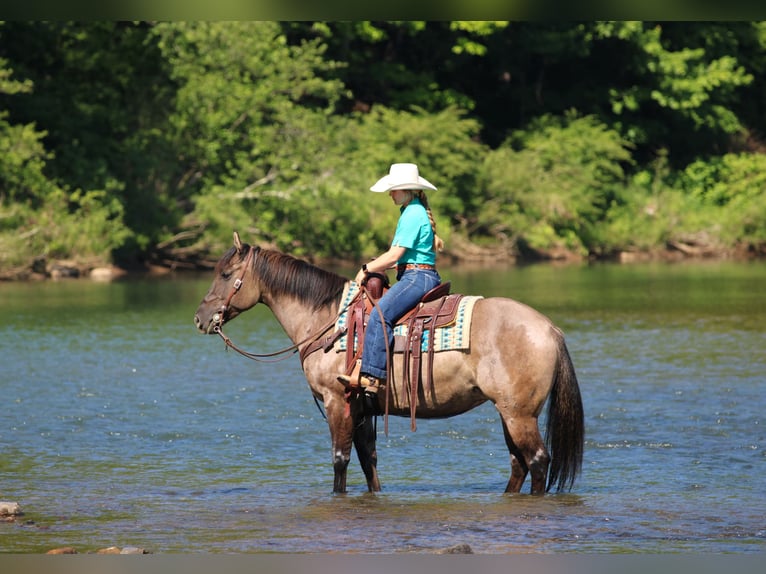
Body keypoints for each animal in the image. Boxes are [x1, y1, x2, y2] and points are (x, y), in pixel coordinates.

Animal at [194, 232, 584, 495]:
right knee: (519, 463)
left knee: (537, 461)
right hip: (509, 411)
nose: (200, 318)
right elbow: (369, 462)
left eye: (226, 275)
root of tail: (549, 328)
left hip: (520, 414)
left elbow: (340, 459)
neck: (327, 319)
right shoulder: (361, 407)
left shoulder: (337, 401)